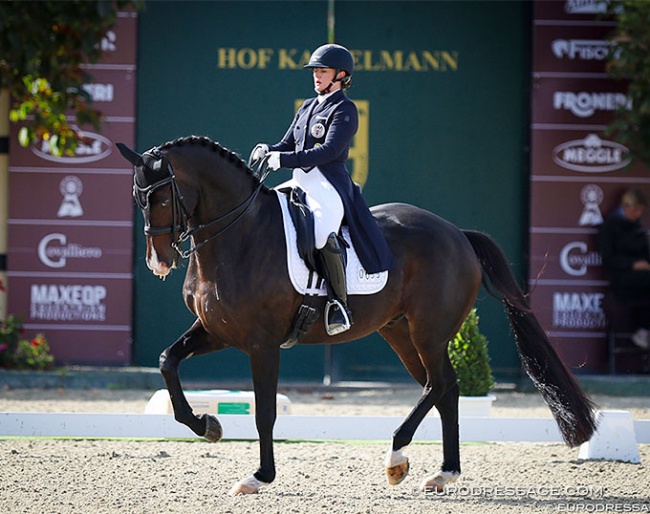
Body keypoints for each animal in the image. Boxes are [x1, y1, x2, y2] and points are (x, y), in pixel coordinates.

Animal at [115, 134, 592, 494]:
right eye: (137, 198)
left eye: (161, 197)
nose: (158, 262)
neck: (239, 235)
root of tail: (457, 233)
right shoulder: (216, 331)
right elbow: (168, 362)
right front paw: (208, 425)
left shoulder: (262, 344)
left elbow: (265, 412)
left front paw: (259, 477)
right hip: (402, 334)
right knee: (444, 389)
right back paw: (442, 473)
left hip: (429, 332)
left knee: (440, 384)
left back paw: (397, 457)